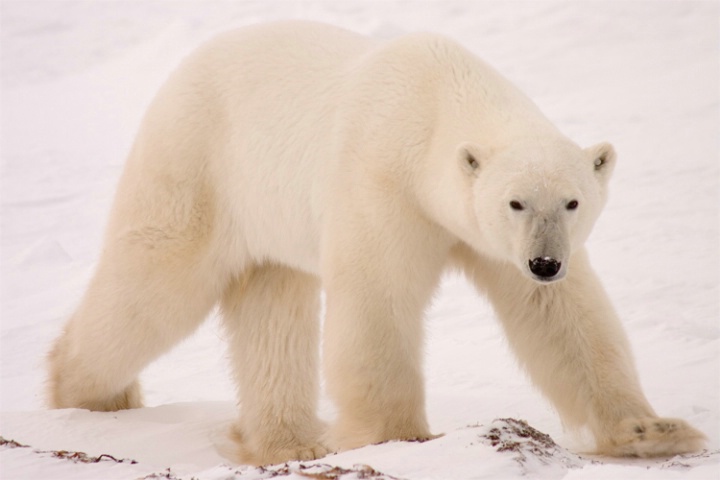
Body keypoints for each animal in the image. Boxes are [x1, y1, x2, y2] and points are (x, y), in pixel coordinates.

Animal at [49, 20, 704, 464]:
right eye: (515, 202)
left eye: (572, 202)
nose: (545, 261)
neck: (436, 99)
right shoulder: (382, 180)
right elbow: (377, 299)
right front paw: (398, 436)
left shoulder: (494, 241)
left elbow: (560, 318)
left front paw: (651, 432)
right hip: (199, 164)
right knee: (157, 281)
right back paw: (91, 393)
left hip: (268, 217)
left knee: (273, 310)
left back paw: (288, 442)